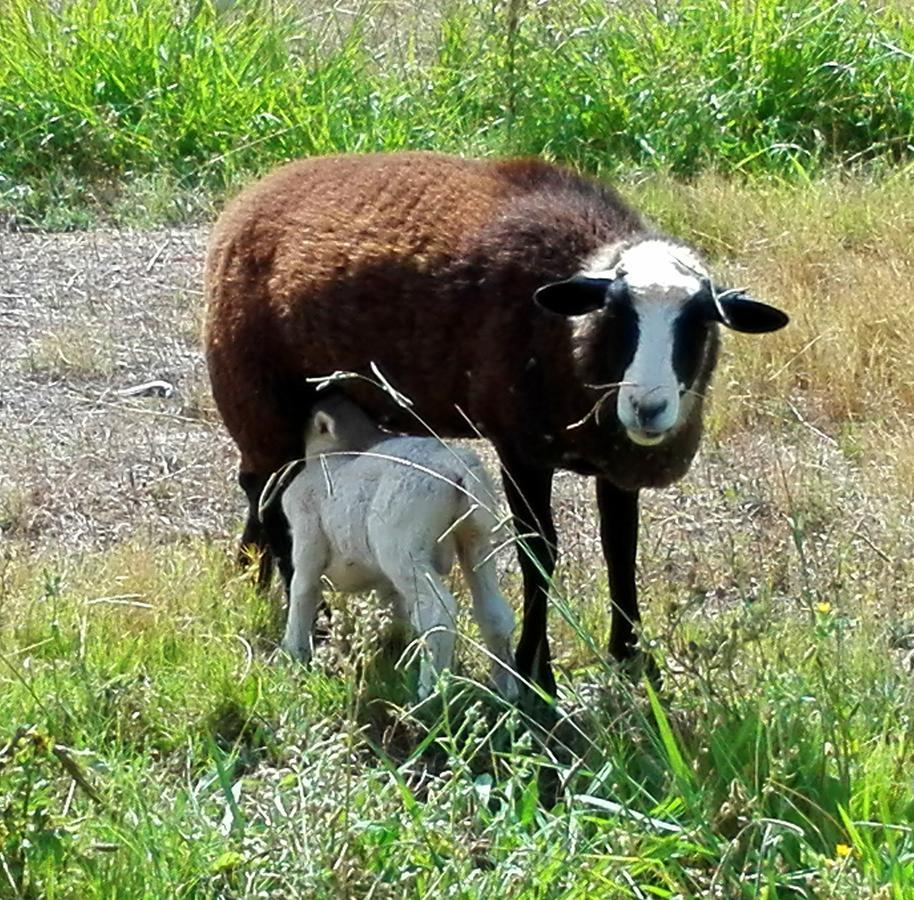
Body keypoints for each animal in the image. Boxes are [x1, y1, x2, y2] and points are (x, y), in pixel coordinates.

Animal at [256, 396, 516, 704]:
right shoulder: (383, 580)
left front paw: (291, 656)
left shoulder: (308, 539)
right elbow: (393, 608)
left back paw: (429, 693)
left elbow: (302, 592)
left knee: (436, 612)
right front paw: (392, 649)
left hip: (401, 546)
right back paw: (508, 690)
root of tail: (458, 464)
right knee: (494, 612)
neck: (335, 453)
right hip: (475, 540)